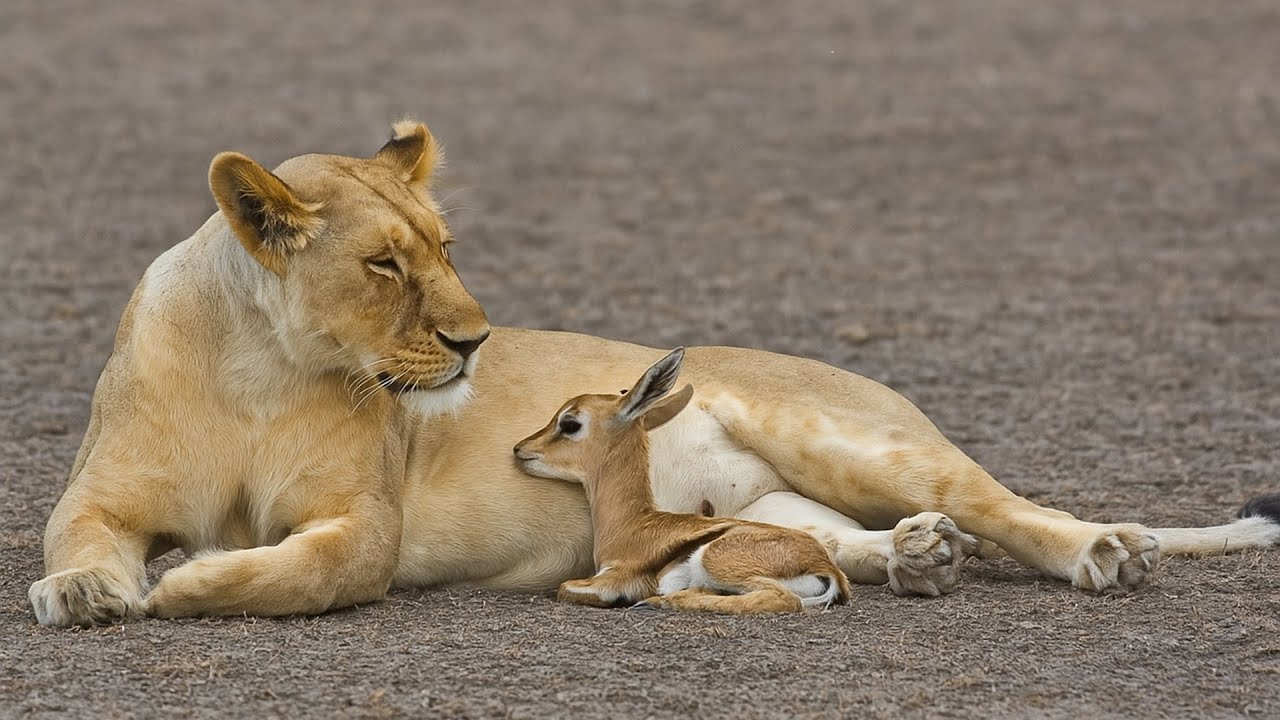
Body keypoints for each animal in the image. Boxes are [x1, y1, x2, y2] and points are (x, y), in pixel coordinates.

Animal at [512, 348, 852, 613]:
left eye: (570, 423)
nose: (520, 448)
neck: (633, 523)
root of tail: (827, 568)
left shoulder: (610, 577)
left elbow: (565, 587)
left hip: (713, 559)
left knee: (781, 599)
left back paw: (658, 602)